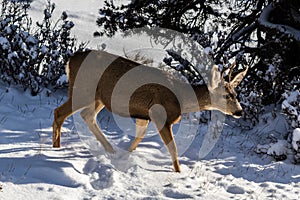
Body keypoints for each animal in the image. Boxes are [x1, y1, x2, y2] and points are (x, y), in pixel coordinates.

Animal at [52, 49, 248, 172]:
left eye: (236, 94)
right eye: (225, 96)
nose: (239, 111)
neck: (182, 98)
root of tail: (70, 60)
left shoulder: (143, 115)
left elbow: (138, 138)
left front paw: (127, 155)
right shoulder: (160, 114)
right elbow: (173, 148)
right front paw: (179, 173)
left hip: (99, 97)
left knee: (87, 115)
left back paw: (110, 150)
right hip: (83, 90)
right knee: (59, 112)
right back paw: (56, 149)